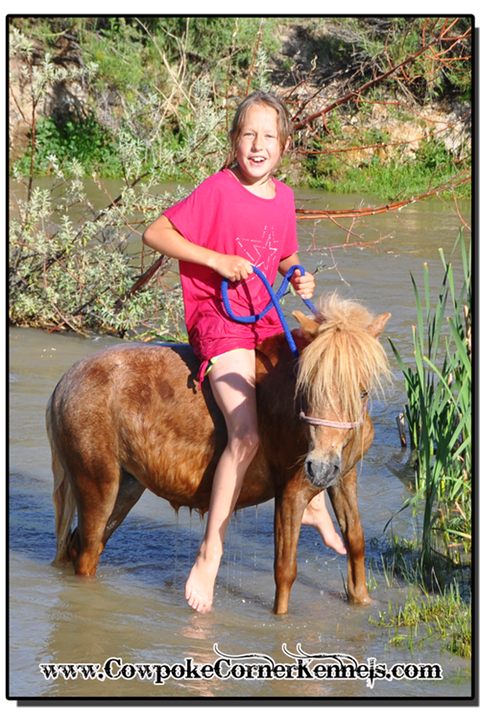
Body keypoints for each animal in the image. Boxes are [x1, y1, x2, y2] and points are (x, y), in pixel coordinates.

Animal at [46, 293, 391, 615]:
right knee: (86, 555)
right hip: (98, 486)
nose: (318, 467)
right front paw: (280, 621)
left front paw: (363, 600)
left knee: (81, 547)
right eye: (306, 389)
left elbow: (356, 540)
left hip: (126, 488)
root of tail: (64, 385)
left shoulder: (344, 477)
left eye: (362, 392)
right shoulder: (291, 491)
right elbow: (285, 569)